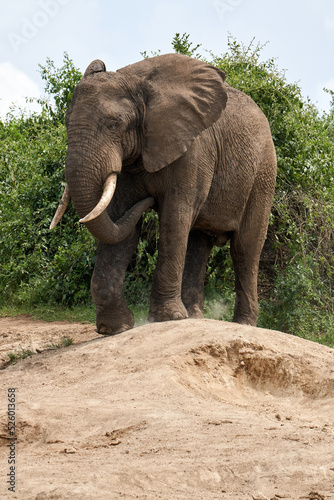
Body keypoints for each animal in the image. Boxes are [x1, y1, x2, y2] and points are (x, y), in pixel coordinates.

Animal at [51, 52, 276, 334]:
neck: (135, 82)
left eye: (114, 125)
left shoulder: (193, 150)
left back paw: (243, 323)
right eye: (66, 123)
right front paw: (115, 329)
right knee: (198, 243)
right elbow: (119, 221)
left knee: (245, 249)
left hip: (263, 175)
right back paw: (194, 316)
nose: (149, 200)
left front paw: (168, 318)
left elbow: (174, 216)